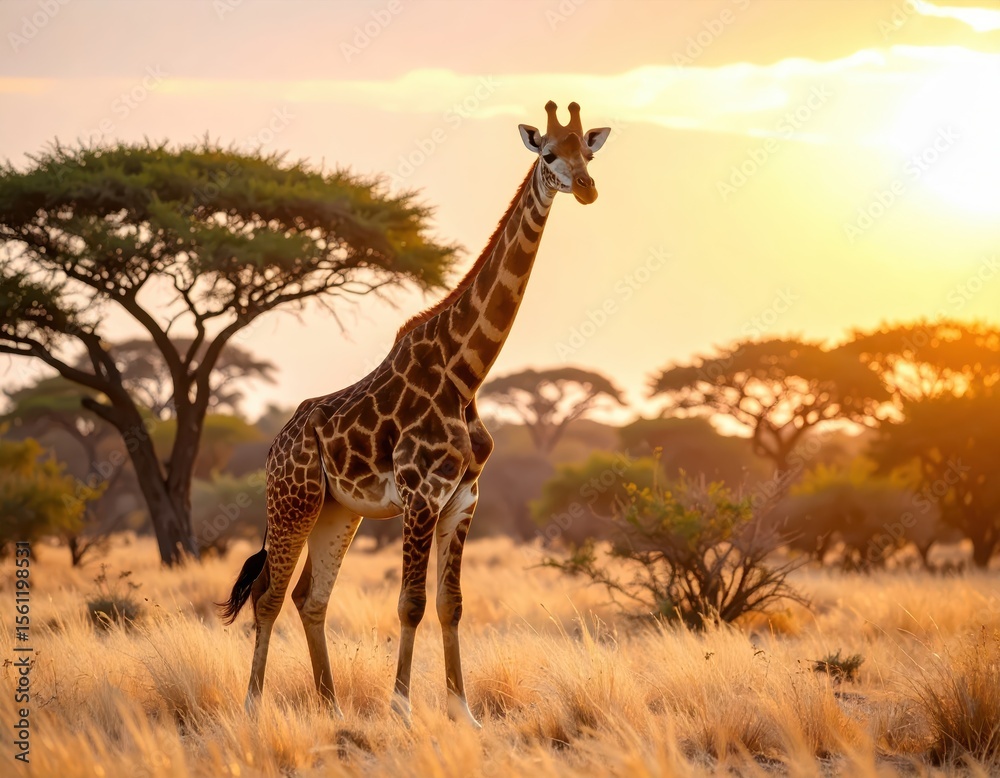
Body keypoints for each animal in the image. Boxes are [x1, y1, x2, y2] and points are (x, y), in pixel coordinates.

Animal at [220, 100, 610, 728]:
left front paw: (464, 712)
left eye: (589, 155)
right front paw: (401, 709)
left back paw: (331, 708)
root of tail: (276, 442)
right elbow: (411, 603)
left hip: (337, 512)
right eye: (549, 154)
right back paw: (254, 708)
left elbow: (451, 605)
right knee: (269, 596)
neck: (465, 373)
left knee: (311, 598)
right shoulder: (421, 495)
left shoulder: (463, 500)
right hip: (293, 501)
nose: (588, 189)